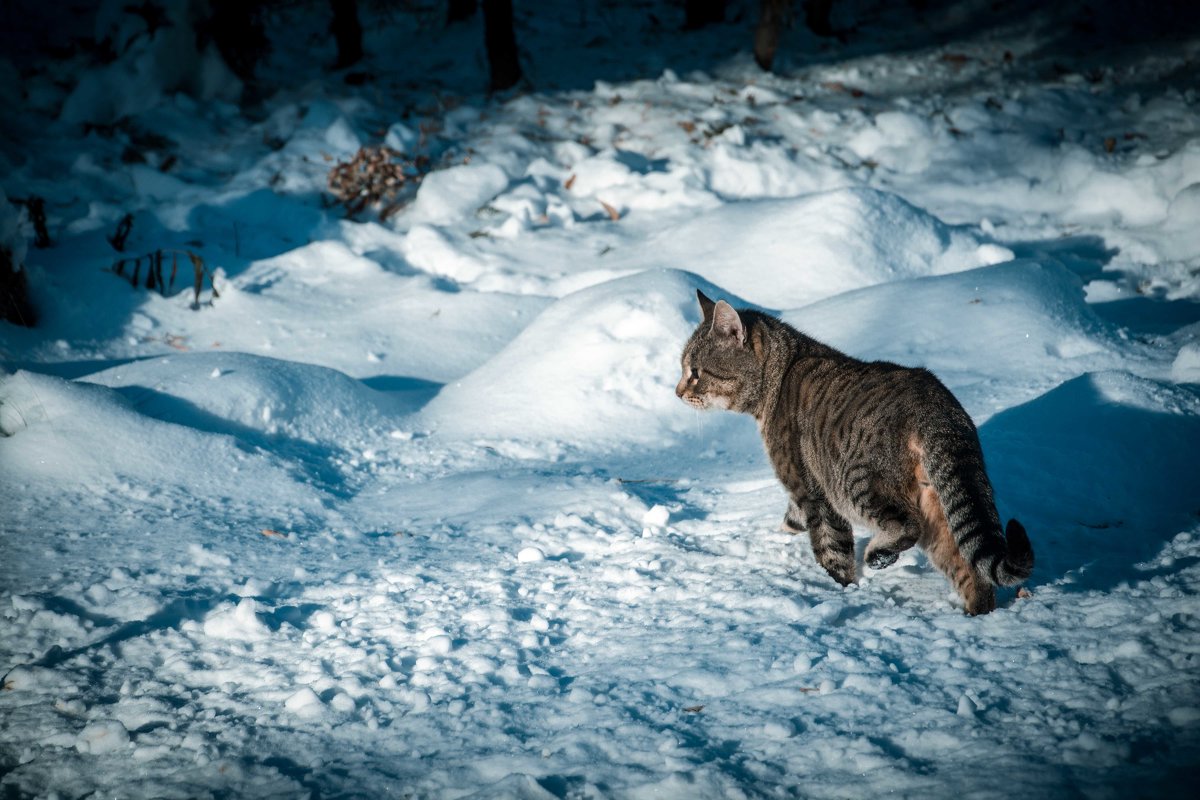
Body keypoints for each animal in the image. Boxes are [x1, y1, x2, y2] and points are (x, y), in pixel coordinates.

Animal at [676, 291, 1032, 618]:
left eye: (695, 372)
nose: (677, 392)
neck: (780, 376)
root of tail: (935, 406)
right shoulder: (805, 496)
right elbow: (792, 520)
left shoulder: (812, 491)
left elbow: (831, 548)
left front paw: (838, 590)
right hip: (939, 505)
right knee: (971, 569)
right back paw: (977, 616)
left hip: (858, 483)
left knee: (908, 525)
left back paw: (878, 554)